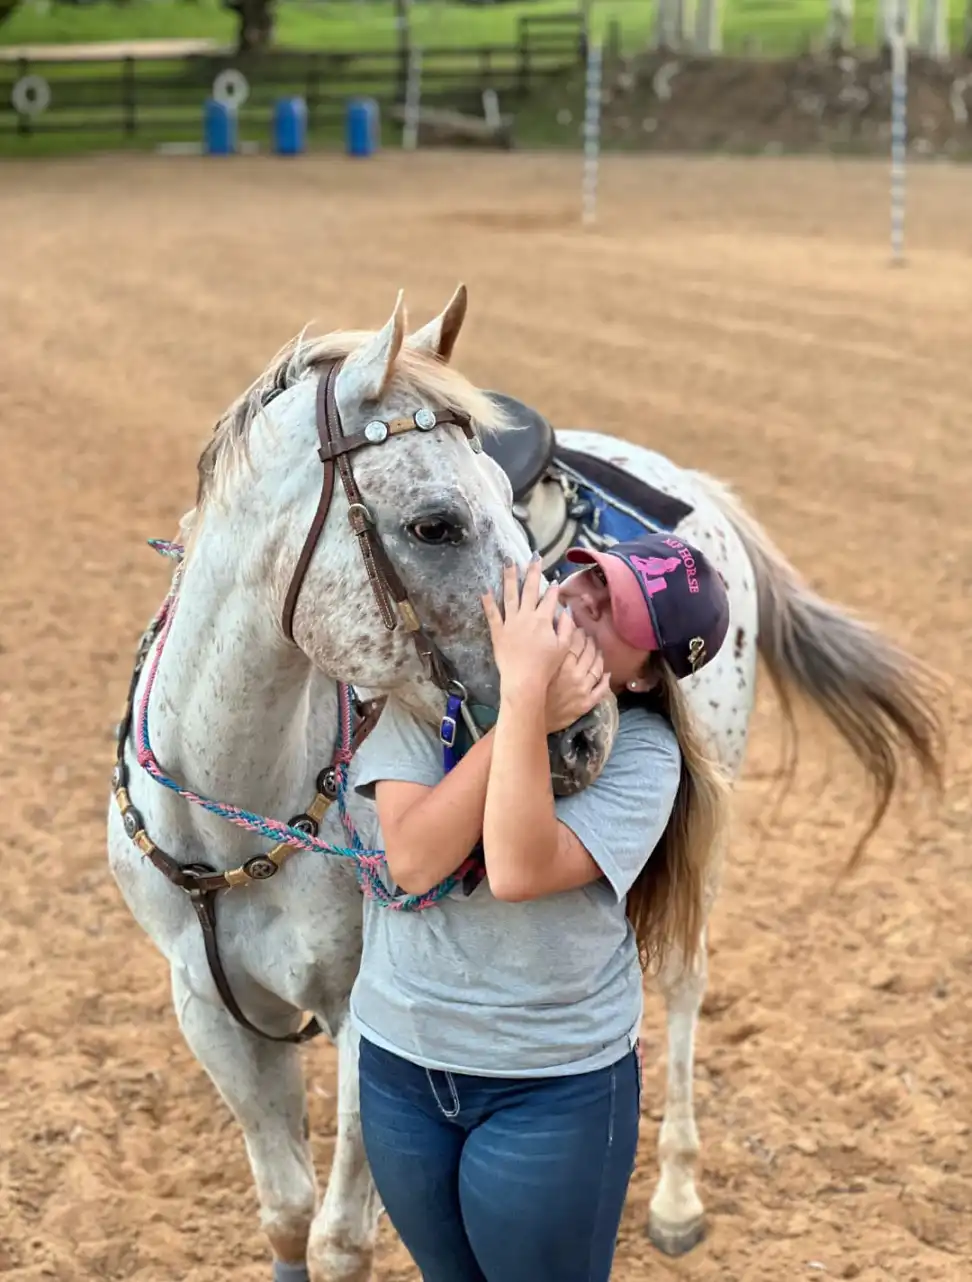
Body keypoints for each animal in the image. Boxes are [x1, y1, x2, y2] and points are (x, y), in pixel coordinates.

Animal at [107, 284, 944, 1281]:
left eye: (507, 507)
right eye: (434, 523)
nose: (587, 735)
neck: (238, 817)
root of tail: (692, 485)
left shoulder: (361, 1021)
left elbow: (341, 1238)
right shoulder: (210, 1014)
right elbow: (284, 1216)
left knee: (683, 983)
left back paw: (675, 1194)